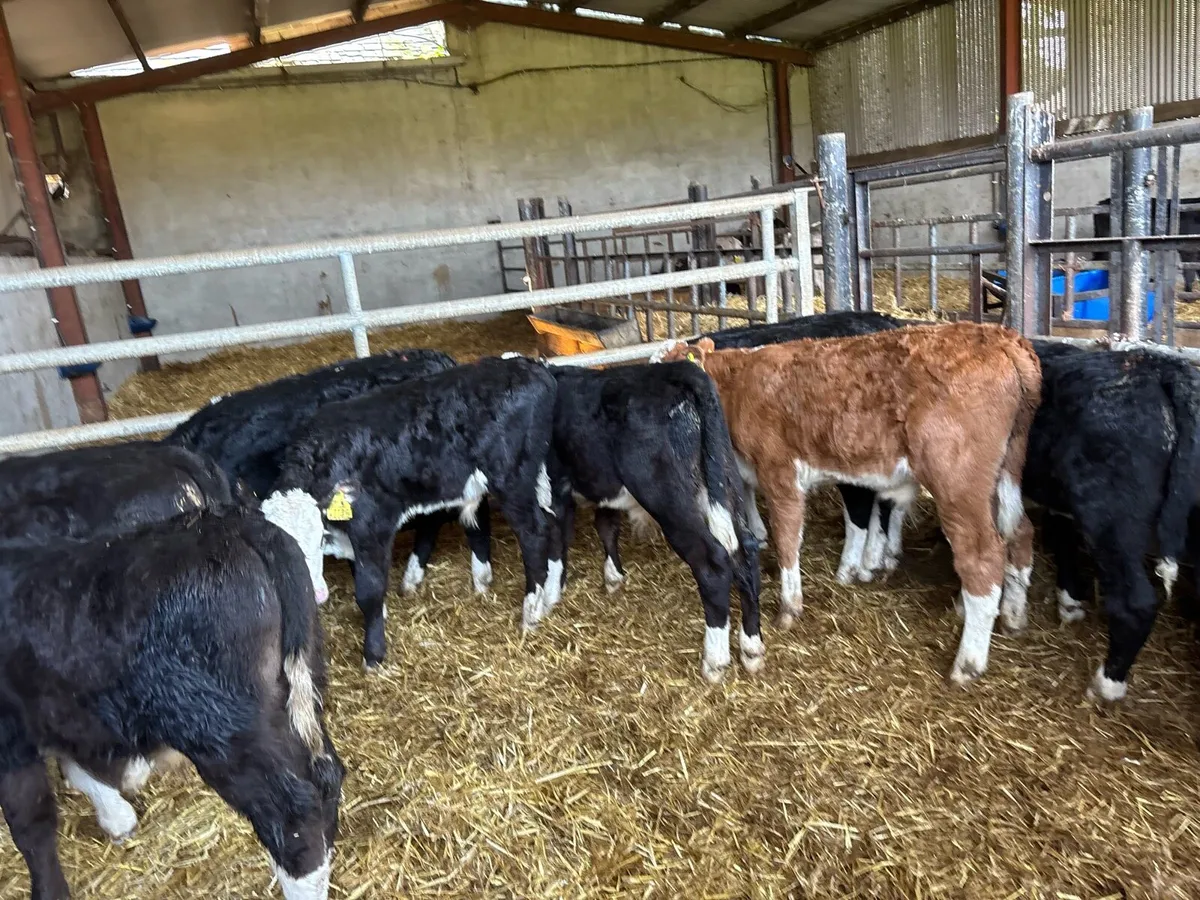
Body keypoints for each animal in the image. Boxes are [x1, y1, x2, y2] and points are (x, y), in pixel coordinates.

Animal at [0, 502, 343, 900]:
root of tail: (228, 525)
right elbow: (79, 768)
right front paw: (117, 816)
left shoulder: (13, 739)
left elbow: (32, 823)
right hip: (301, 690)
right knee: (326, 776)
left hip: (223, 731)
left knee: (292, 814)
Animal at [271, 356, 559, 669]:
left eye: (316, 538)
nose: (314, 593)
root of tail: (526, 365)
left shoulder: (373, 524)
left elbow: (369, 590)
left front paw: (373, 655)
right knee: (552, 519)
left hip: (512, 479)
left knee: (534, 533)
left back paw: (530, 612)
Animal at [545, 361, 763, 682]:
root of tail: (675, 370)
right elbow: (606, 526)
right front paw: (613, 576)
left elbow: (556, 539)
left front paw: (547, 595)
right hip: (722, 480)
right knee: (745, 549)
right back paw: (751, 647)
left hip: (668, 499)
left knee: (714, 564)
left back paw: (715, 660)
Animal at [661, 323, 1041, 685]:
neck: (740, 383)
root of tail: (1001, 337)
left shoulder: (780, 472)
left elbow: (787, 540)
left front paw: (789, 608)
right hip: (1002, 476)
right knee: (1019, 532)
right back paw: (1011, 615)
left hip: (957, 484)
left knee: (982, 556)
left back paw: (968, 663)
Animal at [1023, 340, 1200, 701]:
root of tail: (1162, 366)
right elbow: (1062, 537)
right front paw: (1071, 601)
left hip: (1109, 514)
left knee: (1135, 603)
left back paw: (1107, 684)